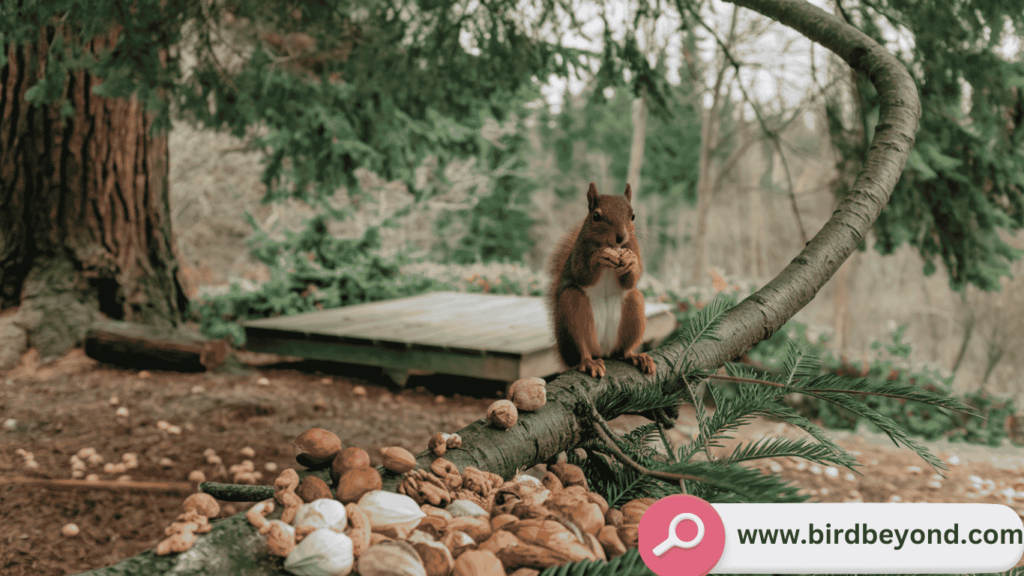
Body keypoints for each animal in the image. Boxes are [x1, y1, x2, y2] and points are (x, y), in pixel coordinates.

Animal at [552, 180, 655, 377]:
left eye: (633, 216)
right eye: (596, 216)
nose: (620, 237)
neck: (610, 246)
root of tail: (604, 352)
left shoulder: (633, 245)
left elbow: (632, 279)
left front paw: (631, 261)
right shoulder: (579, 250)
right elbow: (582, 273)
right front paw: (599, 256)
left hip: (634, 307)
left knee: (623, 351)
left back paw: (636, 357)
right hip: (573, 310)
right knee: (582, 348)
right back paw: (589, 362)